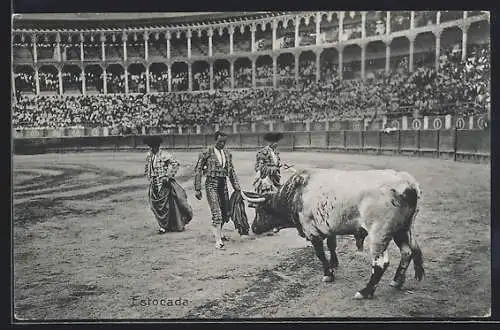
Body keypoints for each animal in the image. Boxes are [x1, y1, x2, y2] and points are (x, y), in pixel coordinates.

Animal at [242, 168, 426, 300]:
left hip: (379, 234)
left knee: (381, 263)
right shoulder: (329, 229)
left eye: (260, 210)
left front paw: (328, 274)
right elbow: (332, 246)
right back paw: (396, 281)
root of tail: (408, 185)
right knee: (407, 252)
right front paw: (334, 264)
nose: (254, 228)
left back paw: (365, 292)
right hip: (402, 229)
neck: (296, 193)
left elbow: (320, 254)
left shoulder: (312, 232)